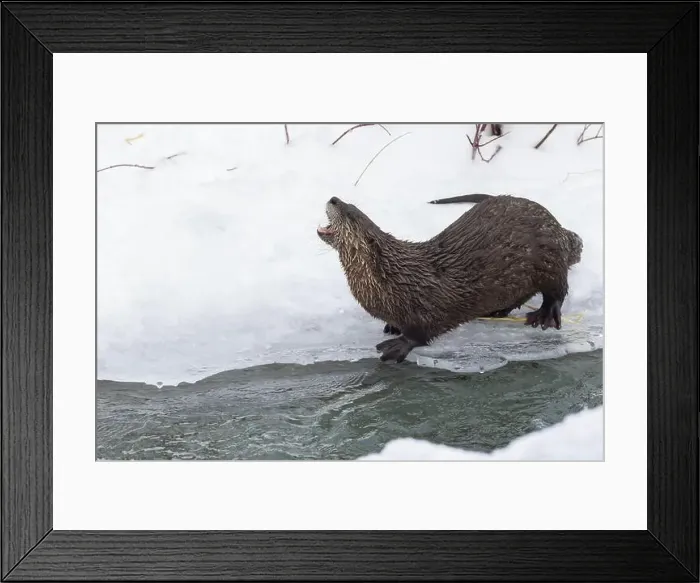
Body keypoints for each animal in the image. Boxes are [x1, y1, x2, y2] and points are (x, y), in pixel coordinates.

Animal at [317, 195, 583, 363]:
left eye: (350, 213)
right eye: (348, 205)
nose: (334, 199)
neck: (393, 278)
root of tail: (559, 229)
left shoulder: (426, 308)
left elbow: (422, 333)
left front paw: (397, 346)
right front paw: (392, 327)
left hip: (549, 260)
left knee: (557, 290)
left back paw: (545, 315)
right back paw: (499, 311)